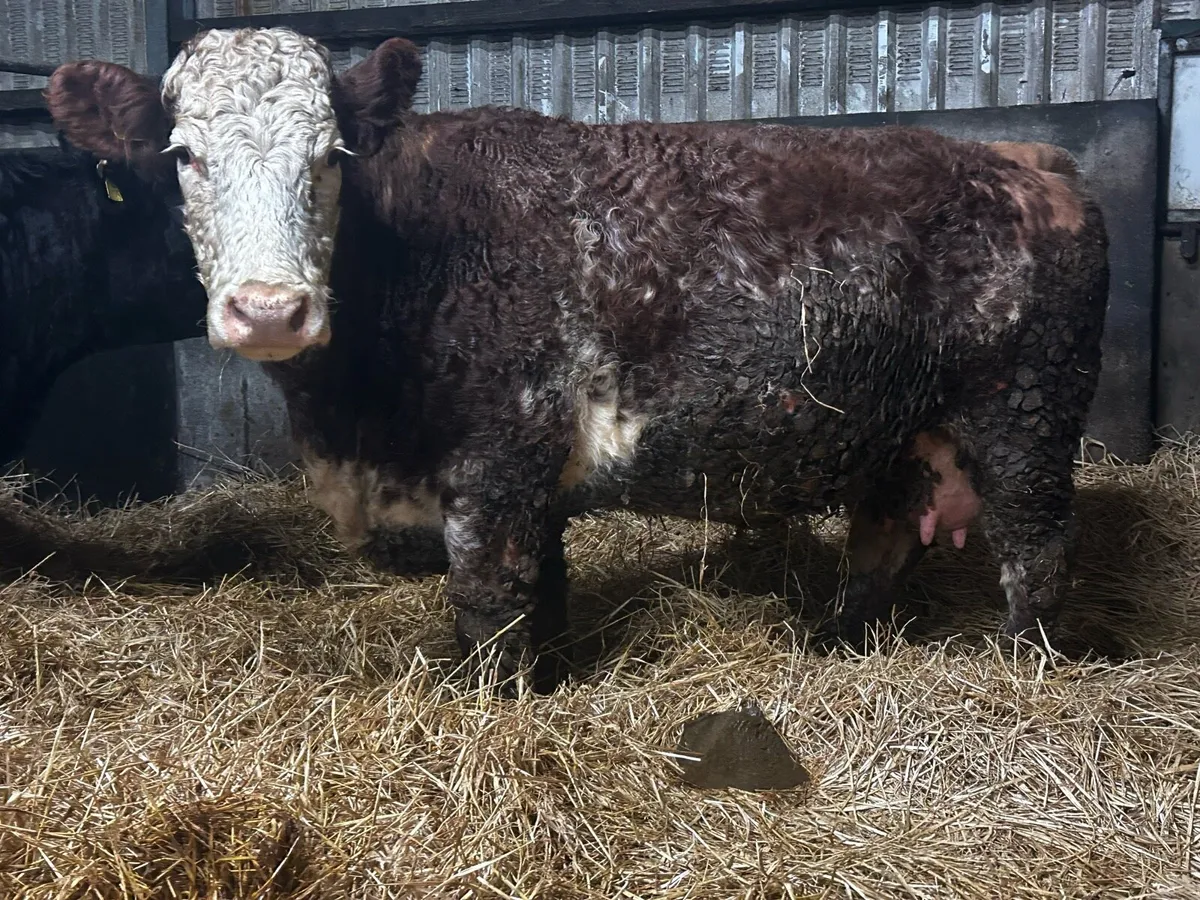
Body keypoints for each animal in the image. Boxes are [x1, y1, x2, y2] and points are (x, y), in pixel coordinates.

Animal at [47, 27, 1110, 694]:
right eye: (184, 156)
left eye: (332, 156)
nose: (269, 307)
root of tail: (1030, 161)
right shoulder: (526, 473)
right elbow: (543, 591)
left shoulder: (496, 457)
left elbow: (491, 602)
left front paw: (494, 706)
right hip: (894, 430)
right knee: (885, 537)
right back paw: (836, 641)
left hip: (1027, 421)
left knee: (1038, 553)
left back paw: (1027, 669)